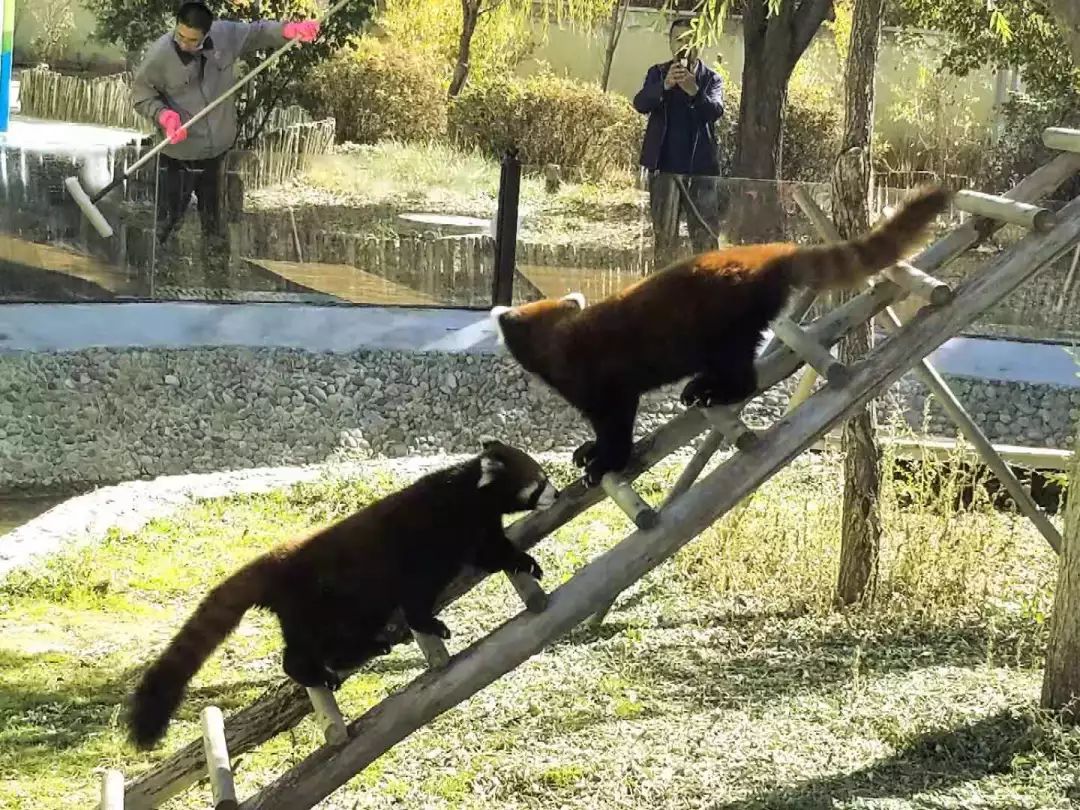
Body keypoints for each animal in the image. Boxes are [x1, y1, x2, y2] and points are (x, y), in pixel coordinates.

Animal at [126, 440, 557, 751]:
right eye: (539, 480)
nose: (553, 493)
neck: (467, 496)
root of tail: (275, 564)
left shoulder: (479, 529)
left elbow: (494, 552)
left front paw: (525, 561)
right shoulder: (426, 541)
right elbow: (418, 595)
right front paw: (429, 623)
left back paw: (368, 647)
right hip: (320, 603)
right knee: (302, 652)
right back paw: (316, 667)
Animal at [494, 183, 950, 486]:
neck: (560, 338)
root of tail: (768, 252)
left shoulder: (604, 383)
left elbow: (617, 424)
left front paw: (605, 461)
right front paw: (591, 451)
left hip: (726, 323)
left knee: (742, 373)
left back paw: (716, 390)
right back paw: (701, 387)